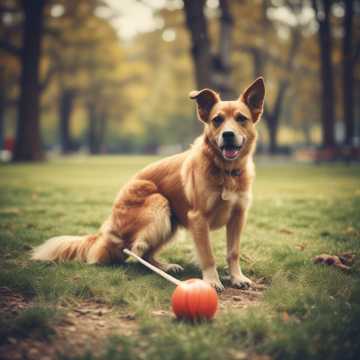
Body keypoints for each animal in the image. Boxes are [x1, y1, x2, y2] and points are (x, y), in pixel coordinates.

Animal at [32, 77, 264, 292]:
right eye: (217, 120)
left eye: (241, 118)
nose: (228, 135)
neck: (226, 171)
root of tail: (107, 230)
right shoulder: (198, 219)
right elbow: (207, 255)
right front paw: (212, 280)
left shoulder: (238, 216)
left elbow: (233, 252)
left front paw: (237, 277)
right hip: (159, 204)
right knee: (137, 250)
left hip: (170, 223)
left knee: (146, 253)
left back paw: (165, 267)